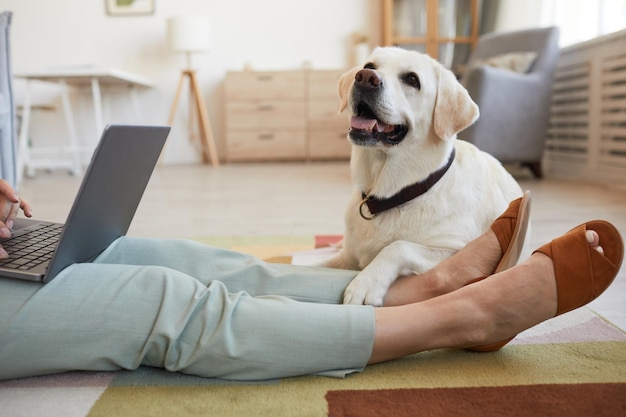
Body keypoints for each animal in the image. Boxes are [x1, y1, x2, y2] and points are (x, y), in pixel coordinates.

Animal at [322, 47, 520, 306]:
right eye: (370, 66)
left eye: (412, 79)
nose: (365, 78)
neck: (395, 194)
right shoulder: (347, 257)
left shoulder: (455, 248)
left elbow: (399, 246)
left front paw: (366, 283)